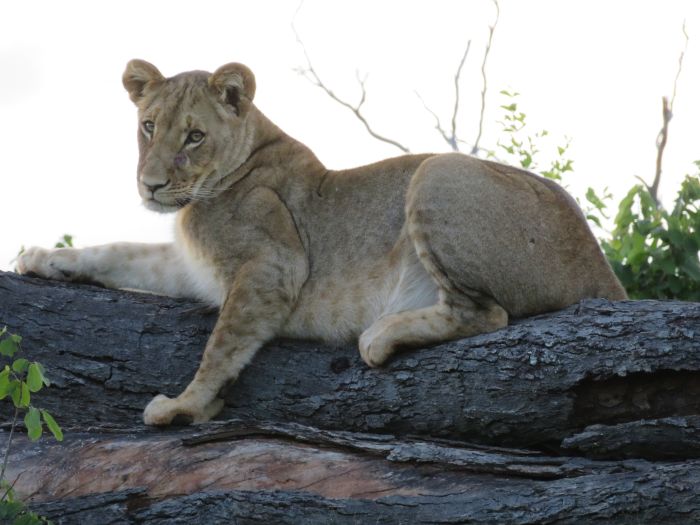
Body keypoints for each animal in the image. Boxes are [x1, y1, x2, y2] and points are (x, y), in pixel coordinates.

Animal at [17, 59, 628, 424]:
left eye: (193, 136)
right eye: (148, 126)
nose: (151, 185)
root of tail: (604, 270)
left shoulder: (273, 265)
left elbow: (222, 344)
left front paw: (184, 404)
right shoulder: (191, 268)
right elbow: (117, 252)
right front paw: (41, 257)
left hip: (437, 172)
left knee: (486, 312)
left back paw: (379, 337)